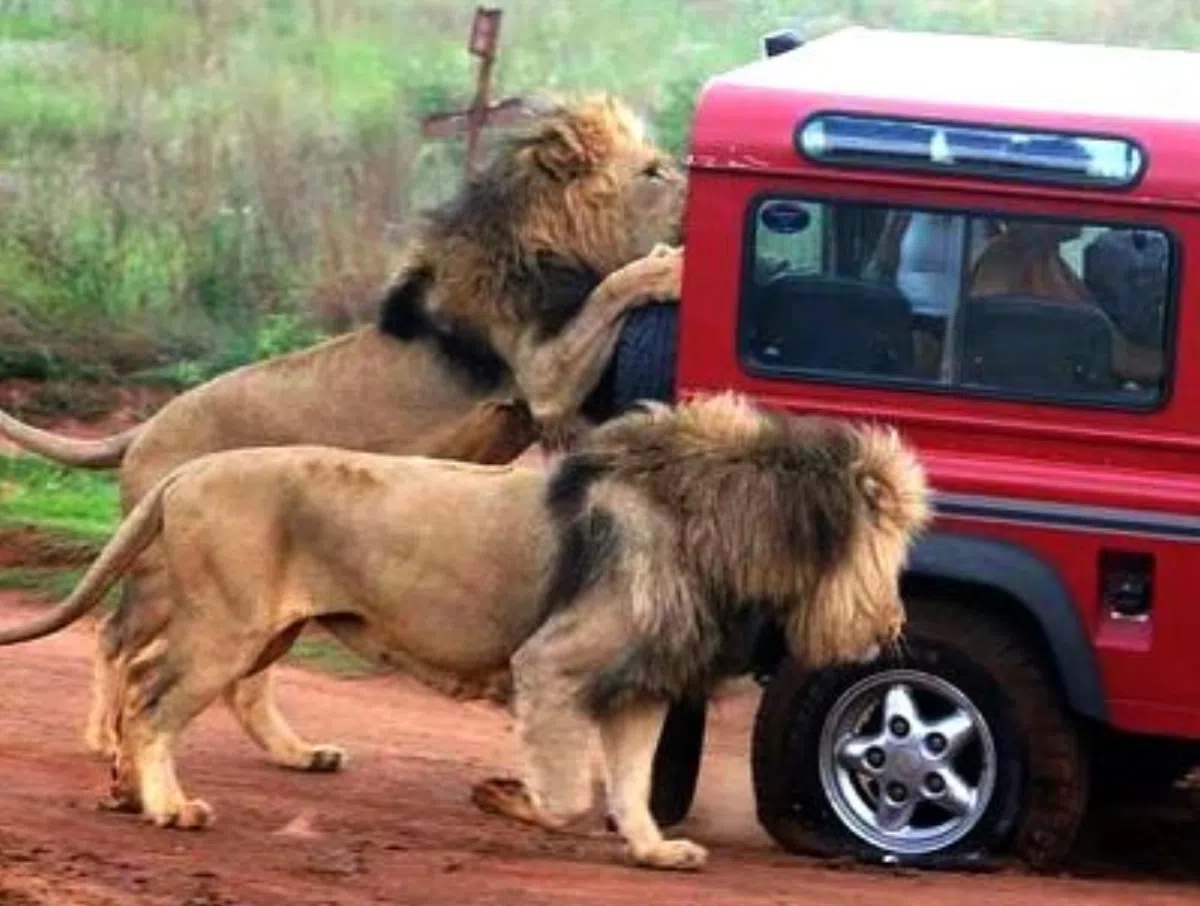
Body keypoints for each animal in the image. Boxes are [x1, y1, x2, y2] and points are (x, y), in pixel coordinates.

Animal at [0, 93, 686, 763]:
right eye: (653, 172)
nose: (688, 180)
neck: (549, 236)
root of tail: (142, 429)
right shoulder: (542, 373)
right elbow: (613, 287)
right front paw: (668, 267)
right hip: (161, 574)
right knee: (116, 637)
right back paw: (104, 738)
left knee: (244, 679)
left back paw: (298, 753)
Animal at [0, 392, 931, 871]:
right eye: (888, 546)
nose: (893, 621)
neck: (714, 529)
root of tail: (188, 470)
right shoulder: (552, 663)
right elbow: (567, 793)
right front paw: (504, 796)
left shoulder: (641, 686)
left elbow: (630, 785)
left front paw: (655, 850)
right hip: (226, 626)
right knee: (153, 698)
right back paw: (166, 805)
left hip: (258, 629)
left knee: (168, 684)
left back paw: (135, 786)